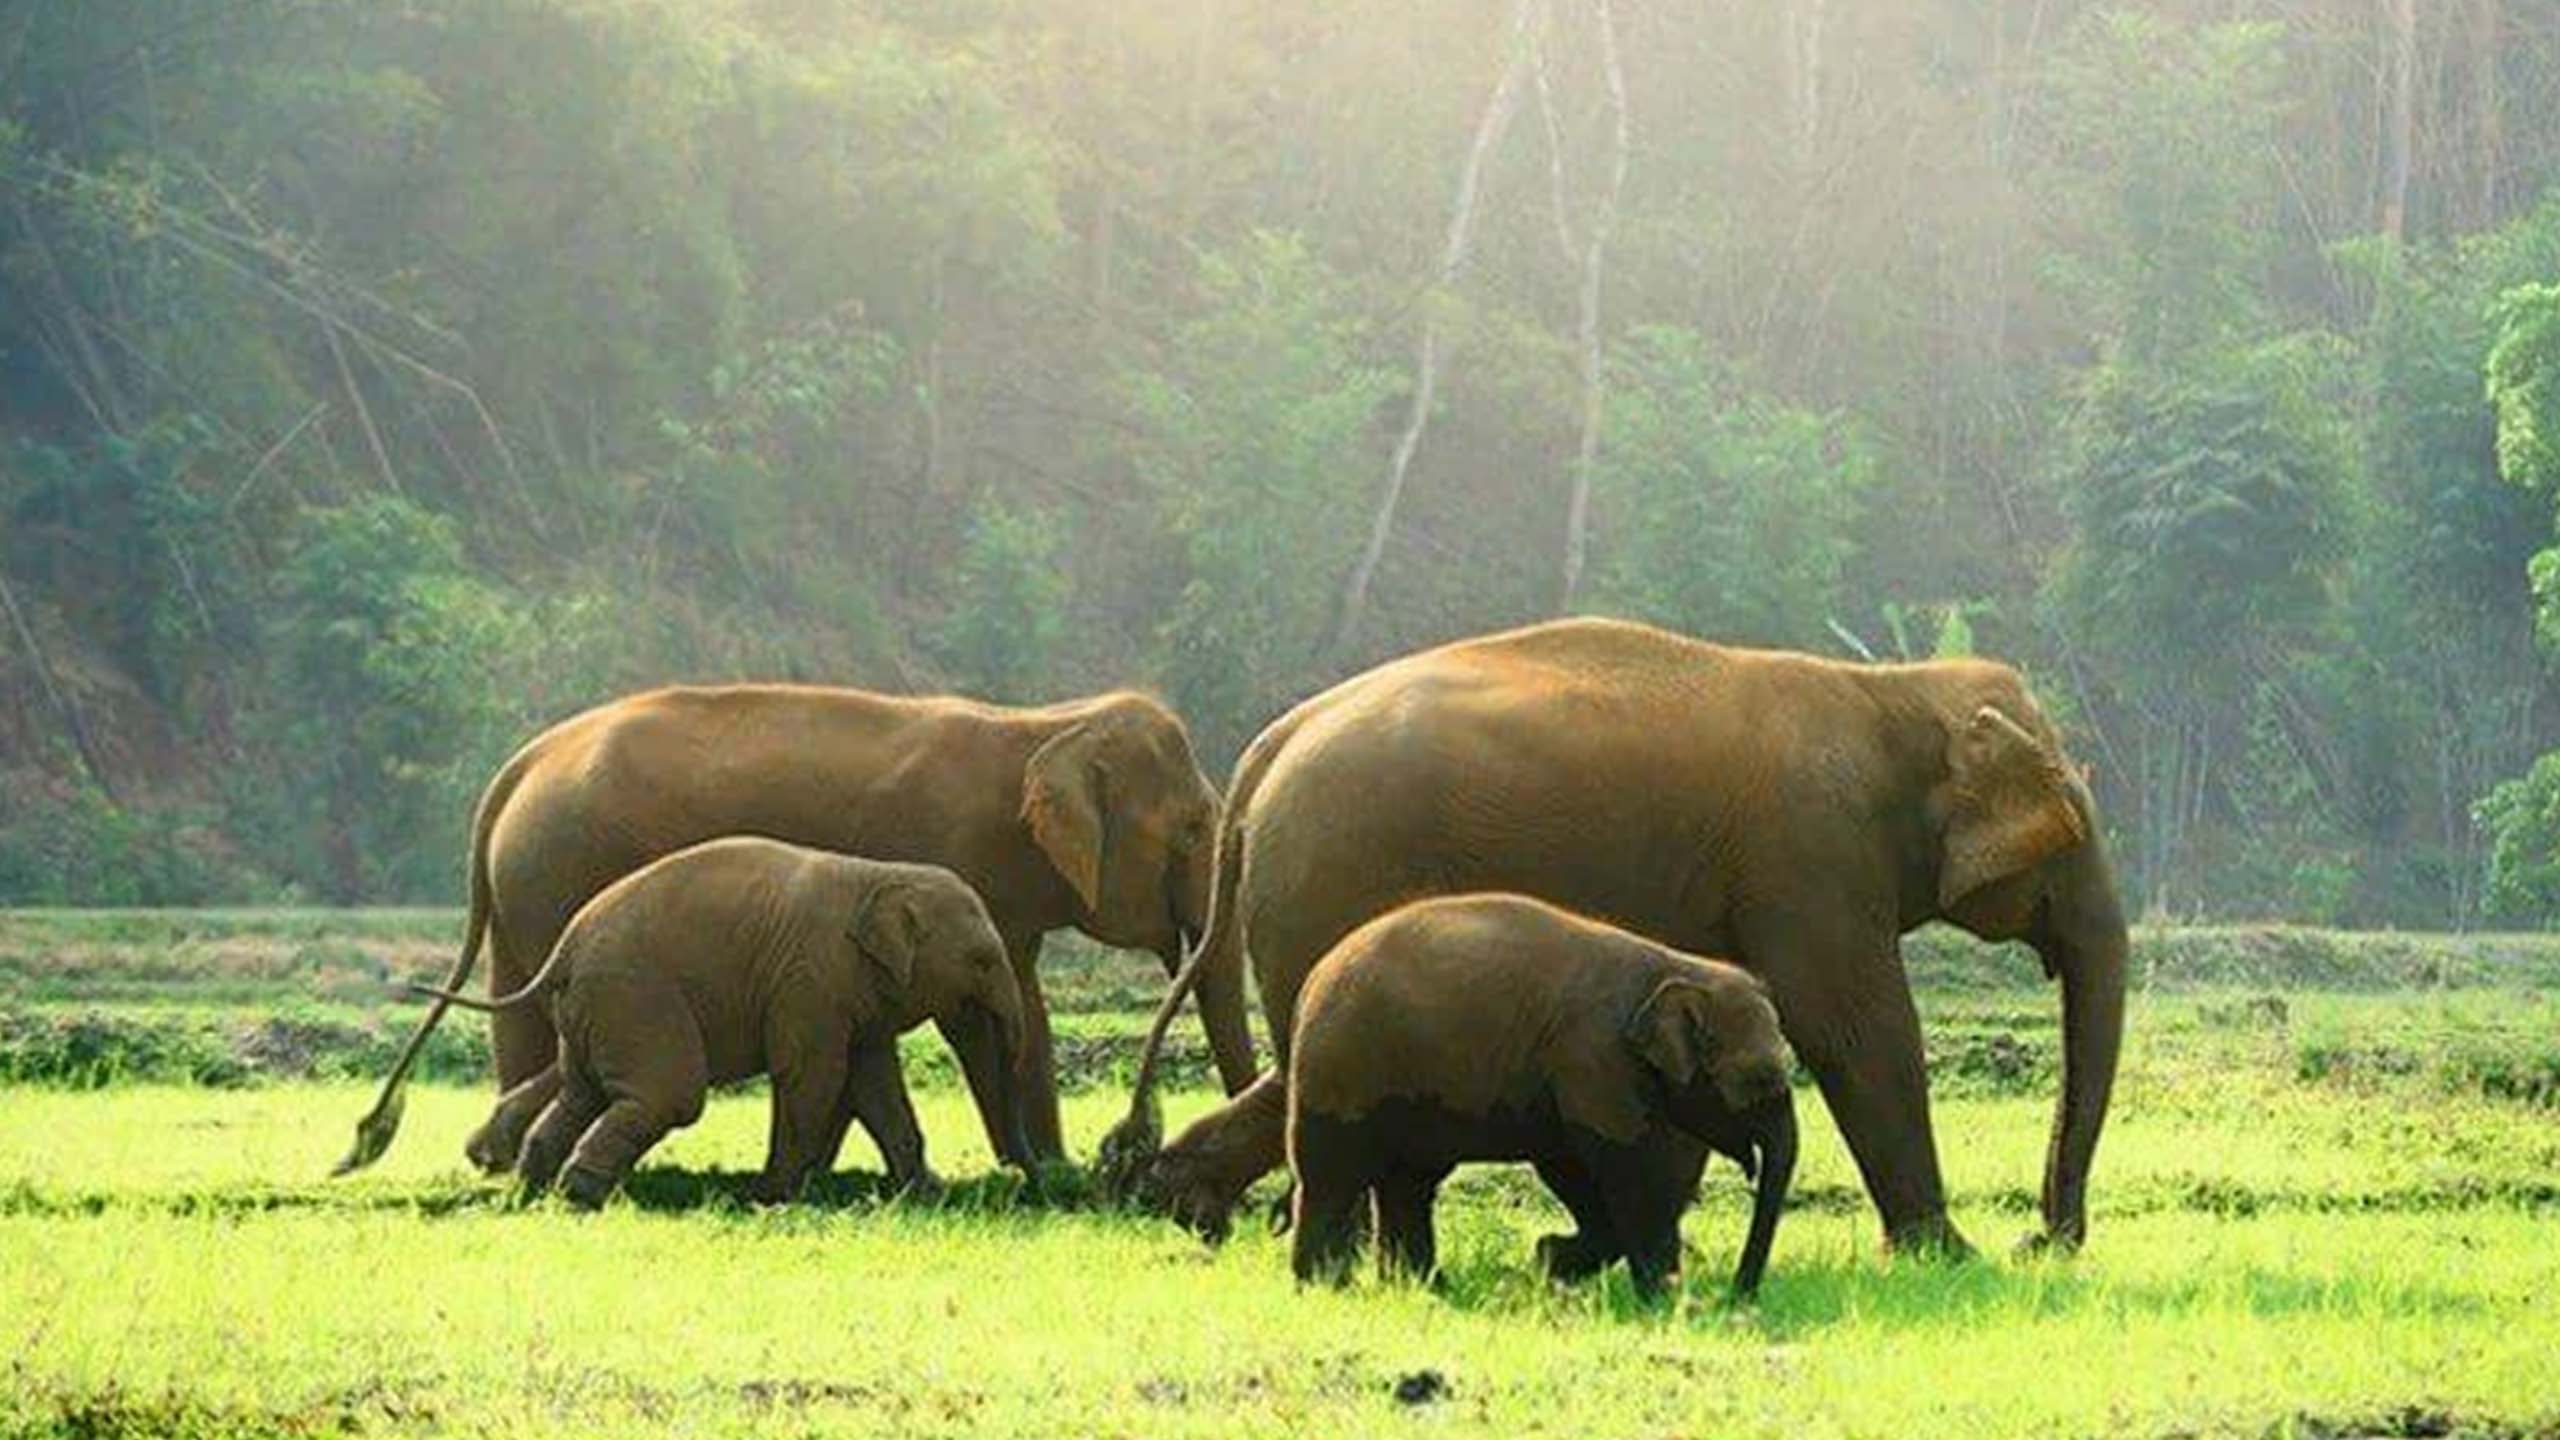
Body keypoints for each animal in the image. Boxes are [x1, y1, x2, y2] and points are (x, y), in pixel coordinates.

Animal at [414, 835, 1024, 1204]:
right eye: (982, 960)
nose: (1021, 1177)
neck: (879, 875)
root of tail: (564, 950)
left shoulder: (849, 993)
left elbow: (875, 1084)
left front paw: (927, 1193)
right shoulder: (809, 981)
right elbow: (812, 1075)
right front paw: (773, 1196)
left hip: (593, 1010)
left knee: (582, 1092)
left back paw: (538, 1191)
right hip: (636, 998)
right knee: (670, 1095)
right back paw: (581, 1195)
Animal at [1111, 617, 2129, 1255]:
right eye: (2072, 833)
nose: (2045, 1239)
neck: (1893, 692)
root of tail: (1271, 744)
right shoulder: (1811, 853)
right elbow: (1855, 1029)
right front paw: (1946, 1257)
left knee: (1303, 1060)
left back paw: (1185, 1204)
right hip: (1334, 869)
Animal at [1280, 891, 1802, 1296]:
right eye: (1759, 1079)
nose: (1738, 1295)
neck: (1678, 966)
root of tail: (1313, 979)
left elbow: (1570, 1162)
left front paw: (1552, 1260)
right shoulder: (1593, 1058)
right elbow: (1624, 1164)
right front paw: (1654, 1294)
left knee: (1408, 1182)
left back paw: (1423, 1288)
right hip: (1341, 1070)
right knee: (1331, 1175)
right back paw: (1324, 1288)